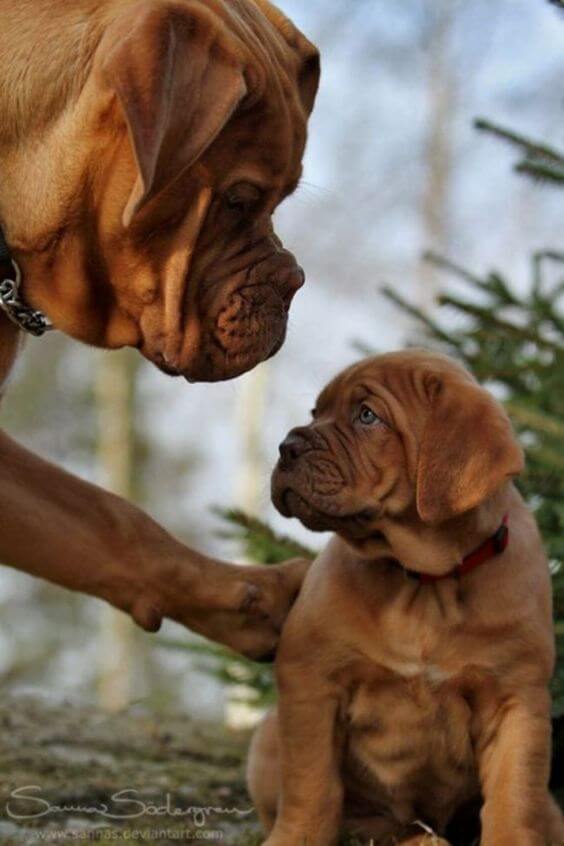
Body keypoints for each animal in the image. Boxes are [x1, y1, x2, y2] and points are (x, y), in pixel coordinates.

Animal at [249, 350, 560, 840]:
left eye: (367, 416)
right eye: (316, 413)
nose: (287, 446)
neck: (425, 583)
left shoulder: (515, 700)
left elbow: (514, 796)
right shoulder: (310, 679)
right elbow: (311, 785)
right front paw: (296, 838)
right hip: (267, 737)